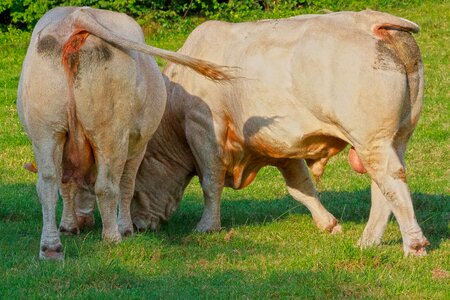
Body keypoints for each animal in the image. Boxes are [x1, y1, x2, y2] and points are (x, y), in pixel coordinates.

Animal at [16, 7, 232, 260]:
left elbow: (66, 185)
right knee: (107, 186)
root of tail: (76, 16)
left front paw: (68, 226)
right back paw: (112, 237)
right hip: (110, 134)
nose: (84, 222)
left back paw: (51, 247)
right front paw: (126, 229)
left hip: (45, 131)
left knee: (47, 183)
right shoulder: (139, 144)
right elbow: (127, 186)